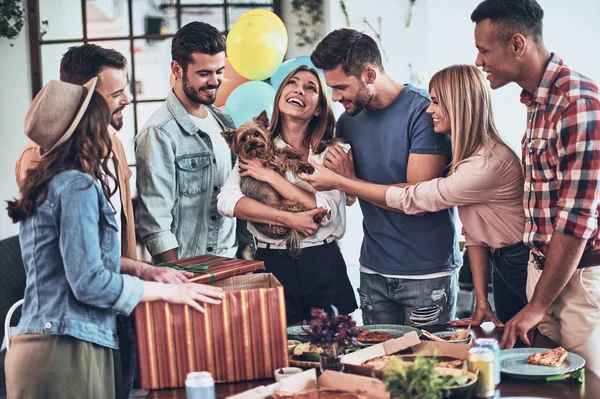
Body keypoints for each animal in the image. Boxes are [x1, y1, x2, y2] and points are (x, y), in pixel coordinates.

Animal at [221, 111, 330, 256]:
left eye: (257, 134)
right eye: (243, 139)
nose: (253, 143)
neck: (257, 153)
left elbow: (282, 151)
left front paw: (297, 157)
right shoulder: (268, 161)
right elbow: (281, 157)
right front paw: (292, 157)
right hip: (287, 208)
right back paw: (318, 215)